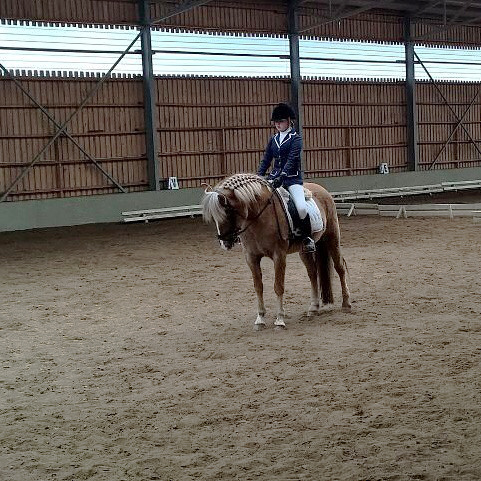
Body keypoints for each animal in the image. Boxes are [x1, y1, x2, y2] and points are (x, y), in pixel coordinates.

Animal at [202, 173, 351, 330]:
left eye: (227, 211)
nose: (224, 243)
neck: (258, 216)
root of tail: (322, 190)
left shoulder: (279, 255)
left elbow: (278, 286)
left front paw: (279, 320)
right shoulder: (251, 257)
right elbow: (258, 287)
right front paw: (260, 318)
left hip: (332, 239)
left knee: (340, 268)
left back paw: (346, 303)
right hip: (304, 251)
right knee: (312, 273)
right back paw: (313, 308)